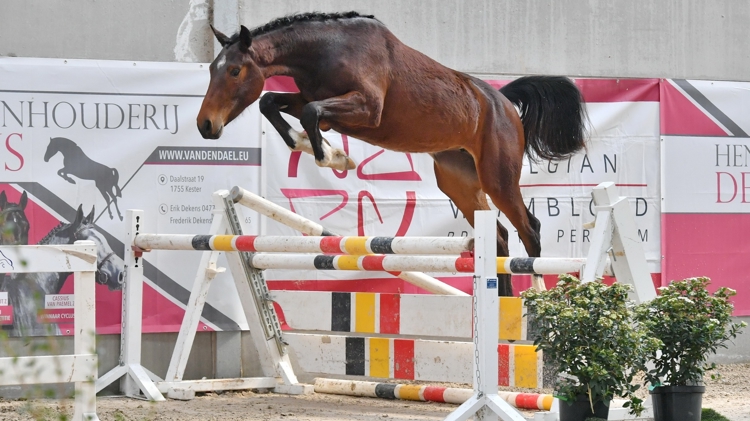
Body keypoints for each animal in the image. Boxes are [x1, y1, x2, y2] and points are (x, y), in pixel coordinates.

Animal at [197, 12, 592, 296]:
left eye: (235, 70)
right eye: (212, 69)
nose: (205, 126)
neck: (327, 50)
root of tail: (503, 100)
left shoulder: (366, 108)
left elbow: (308, 114)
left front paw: (333, 157)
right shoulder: (312, 98)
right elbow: (272, 103)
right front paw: (319, 149)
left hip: (498, 177)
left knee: (529, 228)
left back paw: (536, 295)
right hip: (459, 183)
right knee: (498, 237)